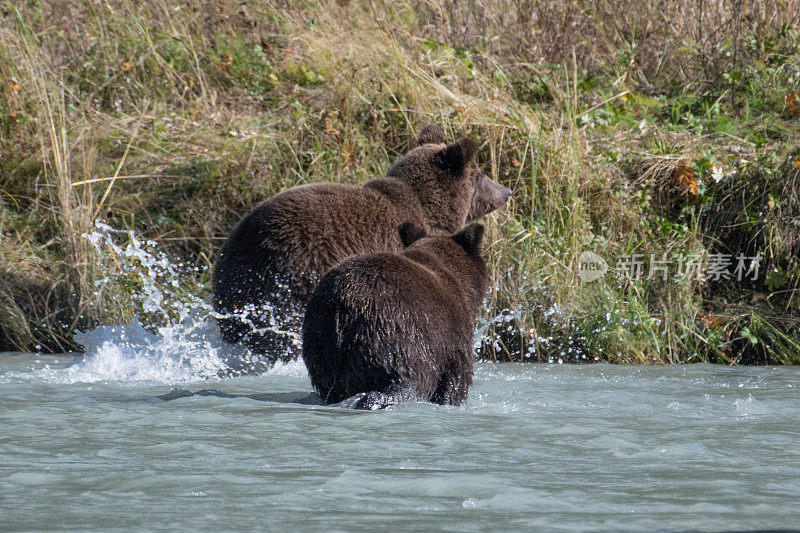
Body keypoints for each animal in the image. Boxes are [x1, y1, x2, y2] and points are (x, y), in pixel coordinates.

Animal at [300, 220, 488, 408]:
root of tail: (342, 310)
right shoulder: (452, 334)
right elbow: (455, 380)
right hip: (394, 331)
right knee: (412, 378)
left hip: (322, 347)